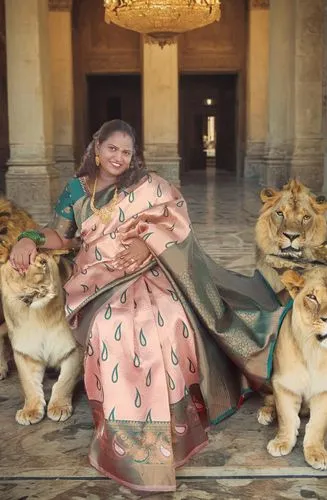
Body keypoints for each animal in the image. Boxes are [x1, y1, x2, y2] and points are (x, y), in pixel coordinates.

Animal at [0, 252, 82, 424]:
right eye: (18, 269)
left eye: (44, 262)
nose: (40, 288)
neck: (39, 318)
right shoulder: (25, 352)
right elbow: (29, 384)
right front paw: (30, 411)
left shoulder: (74, 349)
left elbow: (65, 381)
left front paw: (59, 408)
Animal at [264, 268, 327, 470]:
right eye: (312, 297)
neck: (313, 352)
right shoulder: (284, 384)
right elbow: (286, 417)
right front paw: (282, 442)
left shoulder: (323, 391)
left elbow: (318, 424)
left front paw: (316, 452)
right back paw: (266, 413)